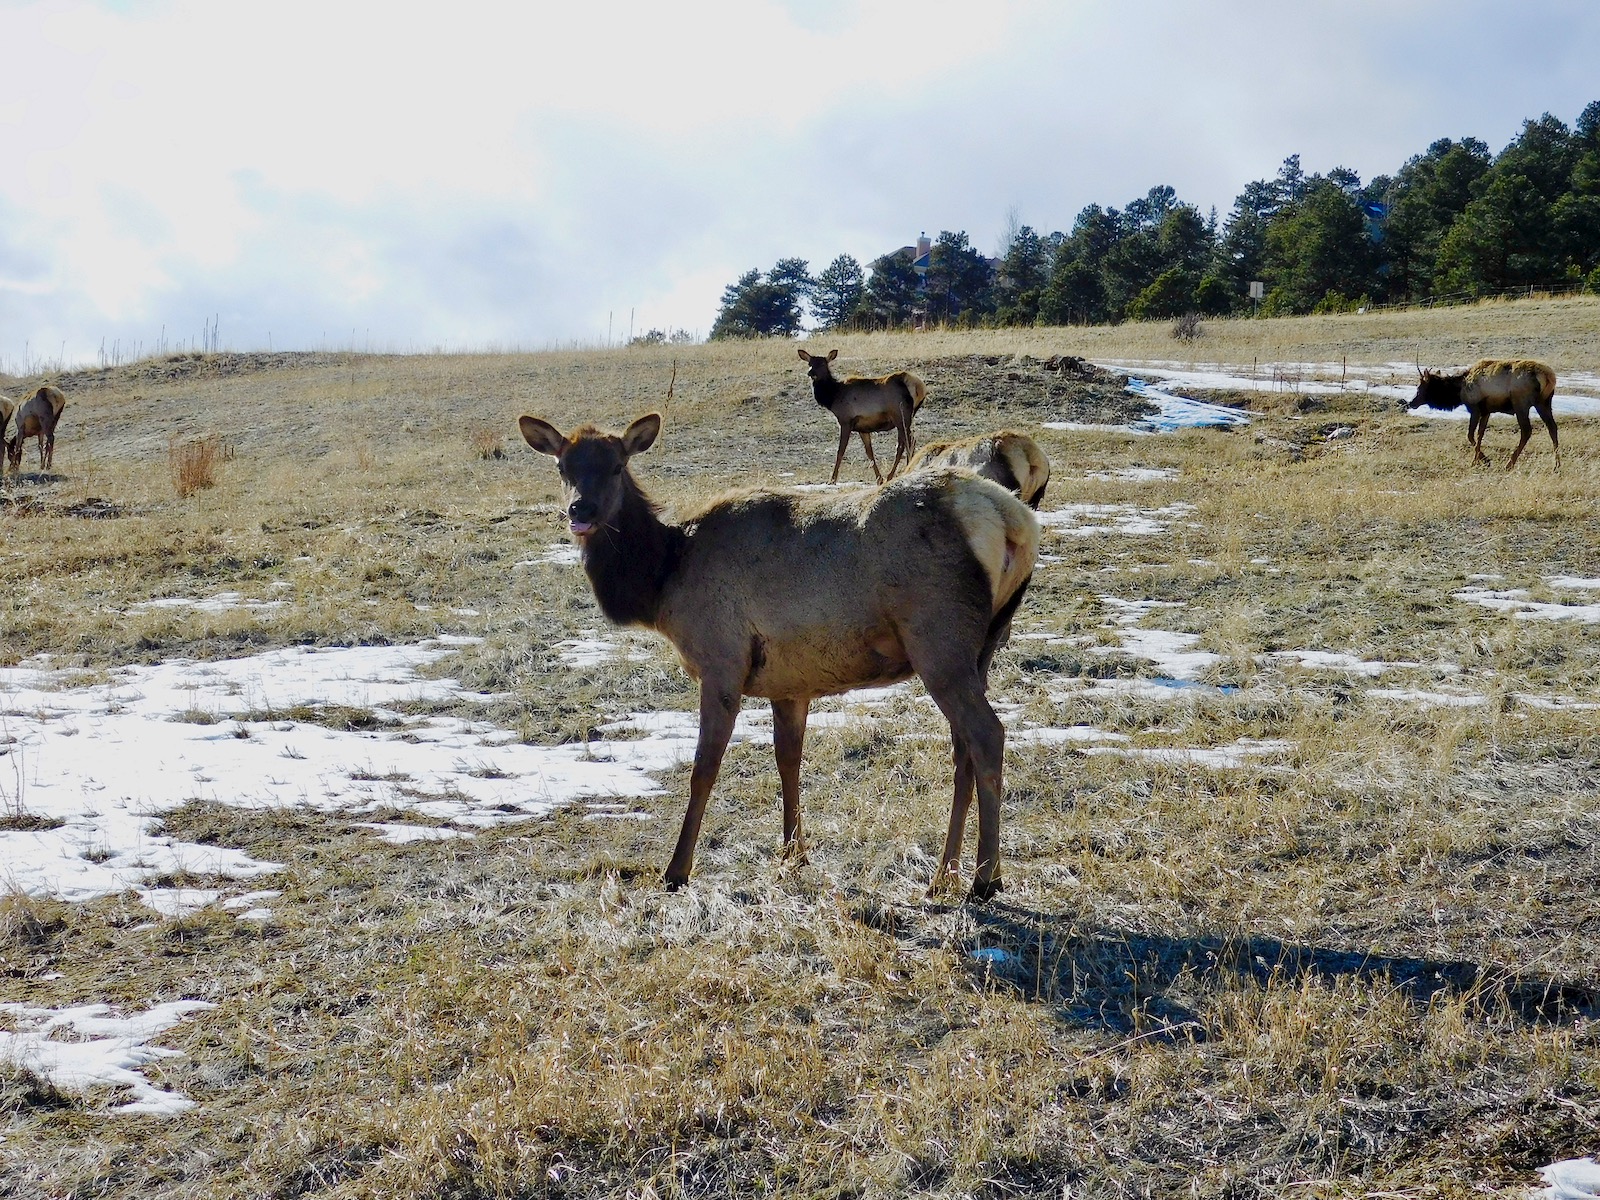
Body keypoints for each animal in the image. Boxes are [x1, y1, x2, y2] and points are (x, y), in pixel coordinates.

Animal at [797, 348, 926, 484]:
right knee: (904, 443)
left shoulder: (845, 421)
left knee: (908, 442)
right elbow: (869, 452)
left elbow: (840, 451)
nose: (810, 372)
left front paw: (832, 480)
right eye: (809, 363)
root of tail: (919, 386)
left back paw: (901, 471)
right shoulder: (862, 428)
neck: (833, 397)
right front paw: (879, 479)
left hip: (901, 415)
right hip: (905, 418)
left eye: (822, 363)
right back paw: (894, 474)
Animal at [1408, 359, 1558, 470]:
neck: (1459, 389)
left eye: (1420, 387)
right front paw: (1480, 460)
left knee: (1526, 431)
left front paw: (1481, 461)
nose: (1411, 402)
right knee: (1552, 427)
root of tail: (1548, 376)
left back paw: (1509, 464)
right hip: (1544, 402)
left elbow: (1470, 435)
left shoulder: (1475, 408)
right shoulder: (1487, 411)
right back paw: (1556, 466)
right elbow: (1480, 434)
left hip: (1521, 403)